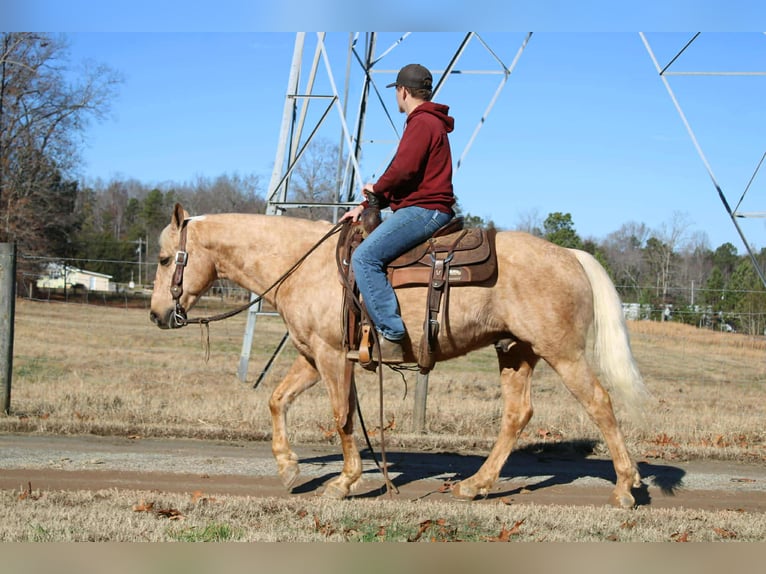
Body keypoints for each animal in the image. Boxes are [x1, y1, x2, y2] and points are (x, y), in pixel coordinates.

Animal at [149, 203, 649, 508]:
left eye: (162, 259)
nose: (157, 314)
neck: (303, 264)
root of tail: (569, 254)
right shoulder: (312, 355)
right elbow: (277, 400)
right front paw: (289, 468)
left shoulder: (333, 357)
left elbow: (342, 416)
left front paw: (344, 482)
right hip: (515, 351)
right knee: (517, 414)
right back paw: (476, 485)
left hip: (562, 353)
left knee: (600, 404)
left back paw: (626, 487)